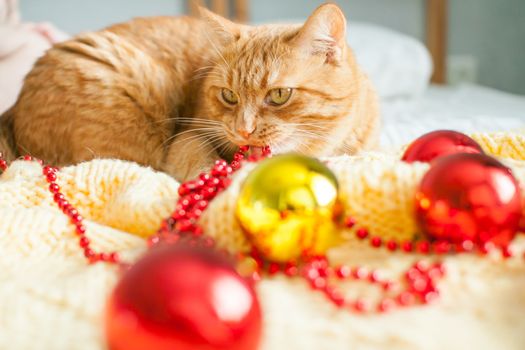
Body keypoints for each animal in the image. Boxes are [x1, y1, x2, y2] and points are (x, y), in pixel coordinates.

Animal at [0, 3, 378, 180]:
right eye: (229, 96)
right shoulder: (188, 137)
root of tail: (13, 110)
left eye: (280, 95)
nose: (243, 130)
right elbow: (199, 162)